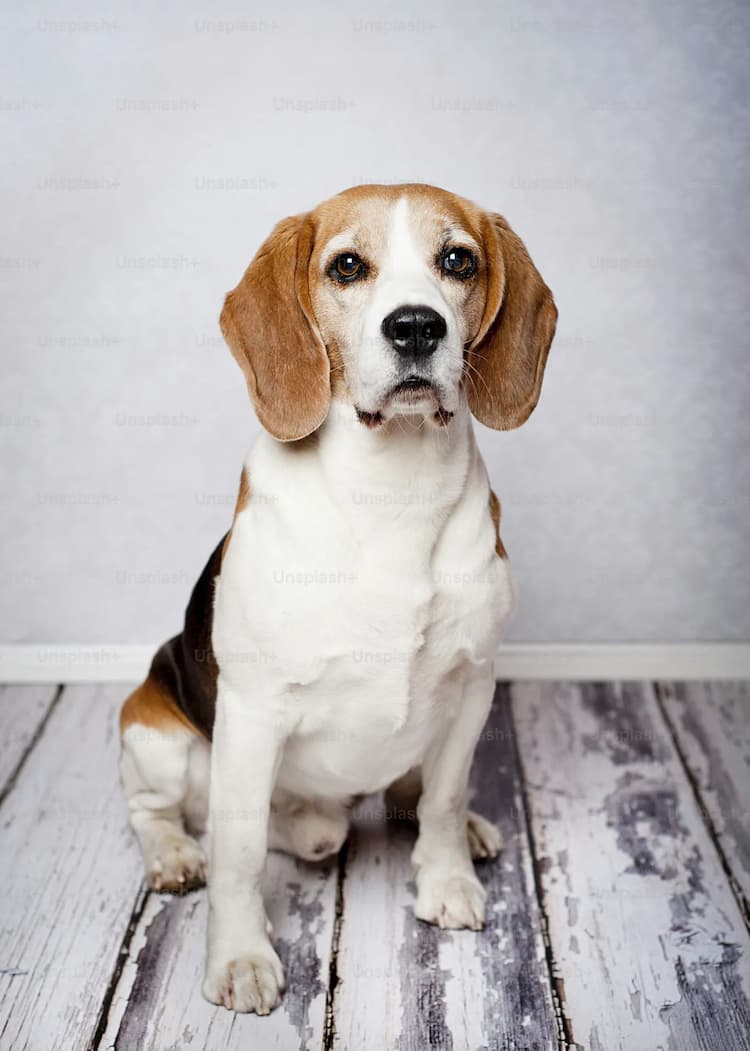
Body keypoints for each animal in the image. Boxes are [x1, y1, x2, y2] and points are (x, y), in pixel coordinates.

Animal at [118, 184, 554, 1013]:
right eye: (347, 266)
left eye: (458, 260)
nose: (416, 326)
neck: (393, 492)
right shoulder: (253, 711)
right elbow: (240, 850)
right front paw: (240, 955)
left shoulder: (474, 680)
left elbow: (445, 795)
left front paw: (447, 877)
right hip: (153, 731)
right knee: (163, 811)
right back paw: (175, 854)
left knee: (403, 794)